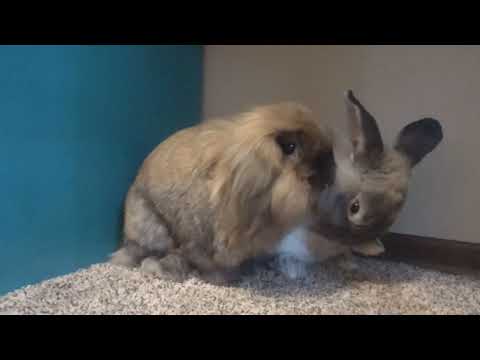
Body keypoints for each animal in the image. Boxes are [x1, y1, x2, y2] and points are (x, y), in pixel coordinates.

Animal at [111, 102, 336, 286]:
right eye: (290, 147)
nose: (330, 174)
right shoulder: (199, 240)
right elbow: (209, 263)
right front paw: (221, 279)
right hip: (155, 231)